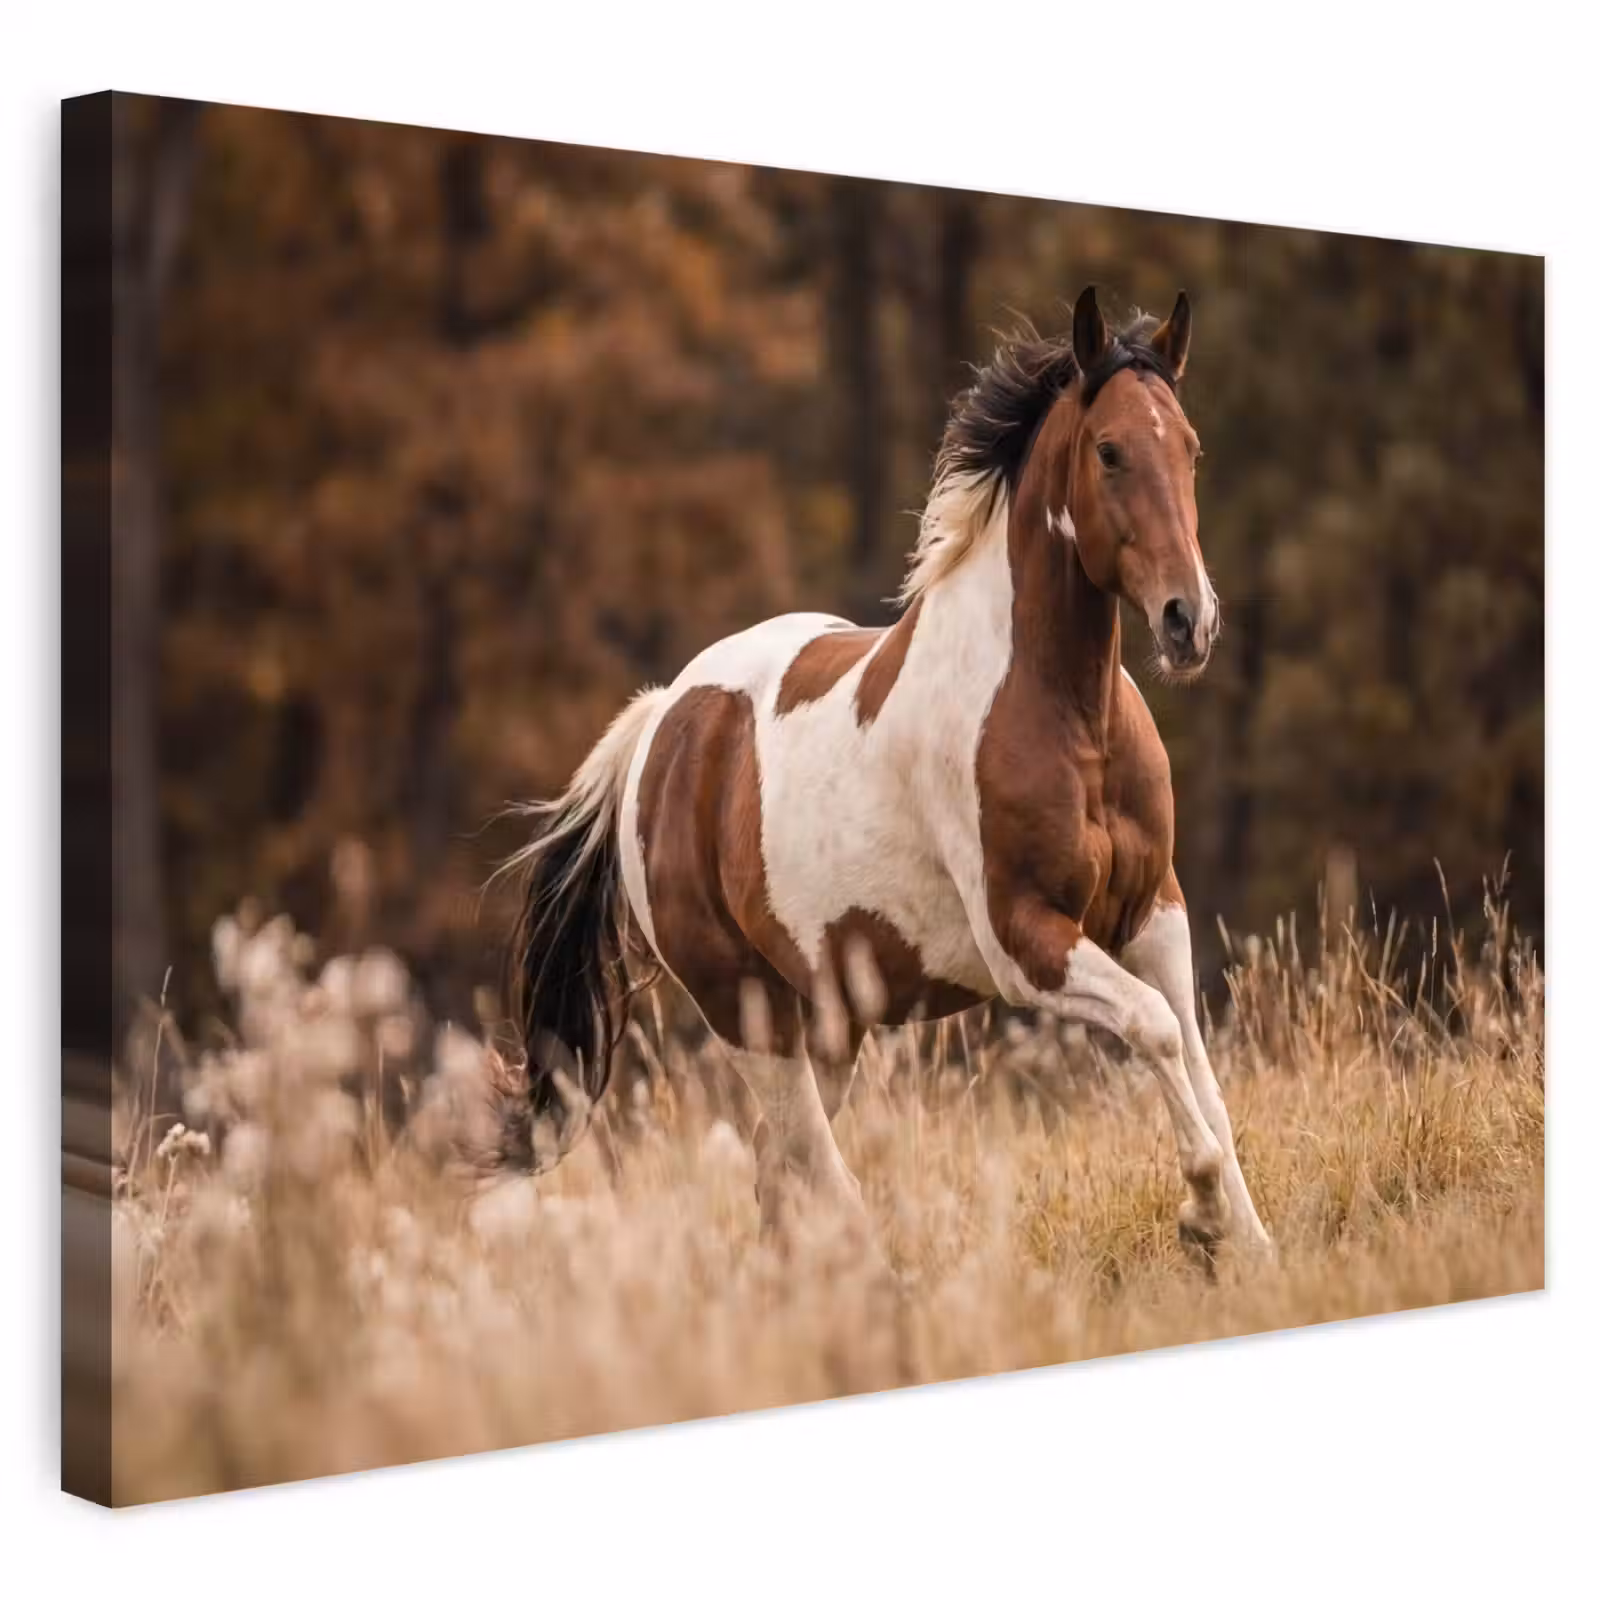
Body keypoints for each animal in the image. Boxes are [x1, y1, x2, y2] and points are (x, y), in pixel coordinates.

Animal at [500, 285, 1272, 1259]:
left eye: (1191, 449)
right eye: (1109, 451)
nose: (1187, 621)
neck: (1069, 717)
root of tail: (658, 727)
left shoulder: (1153, 915)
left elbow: (1200, 1068)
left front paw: (1250, 1243)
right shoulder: (1025, 942)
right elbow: (1156, 1029)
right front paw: (1202, 1216)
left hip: (833, 1017)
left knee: (779, 1173)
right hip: (748, 1010)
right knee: (813, 1173)